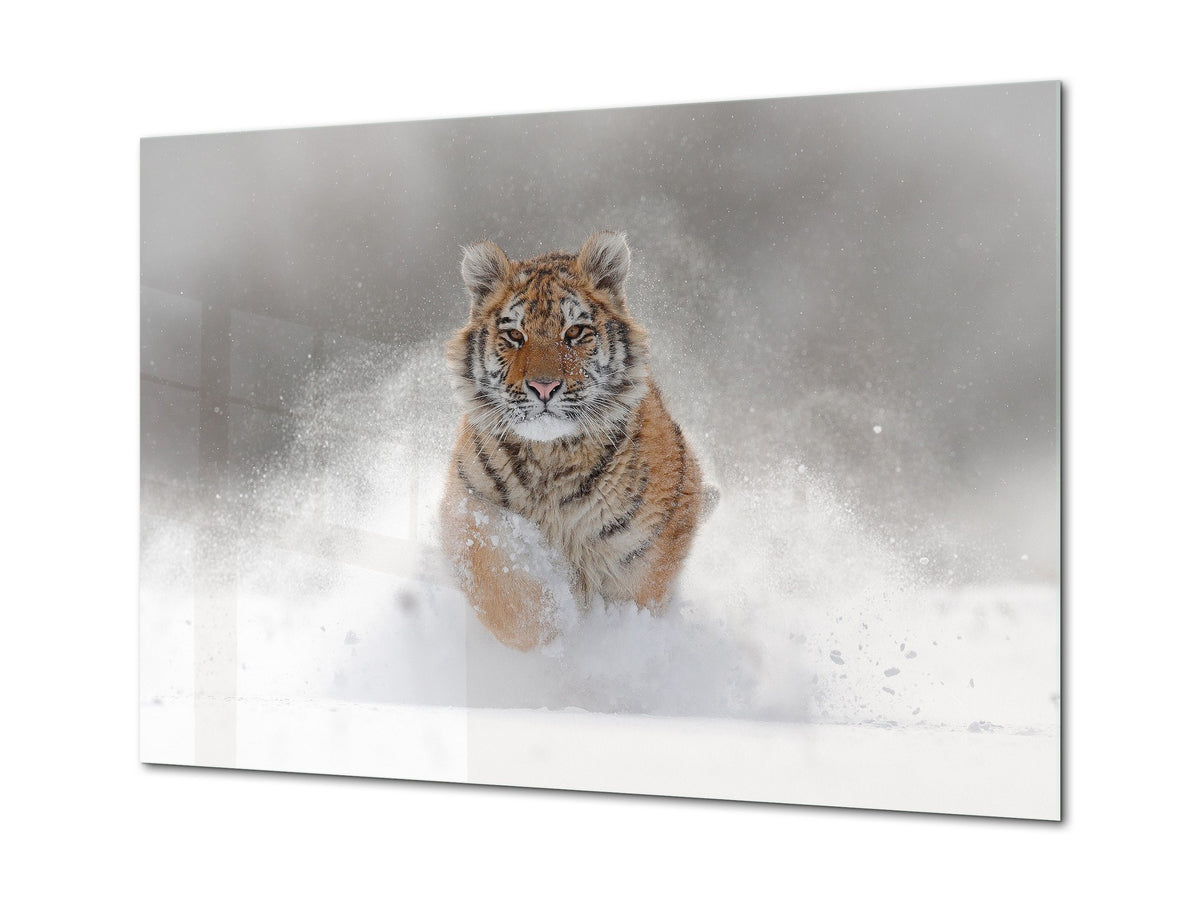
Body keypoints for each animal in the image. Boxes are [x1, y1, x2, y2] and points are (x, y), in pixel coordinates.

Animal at [439, 231, 714, 651]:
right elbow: (505, 595)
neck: (550, 457)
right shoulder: (470, 508)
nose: (544, 386)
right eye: (514, 335)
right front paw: (552, 629)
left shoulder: (647, 548)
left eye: (573, 332)